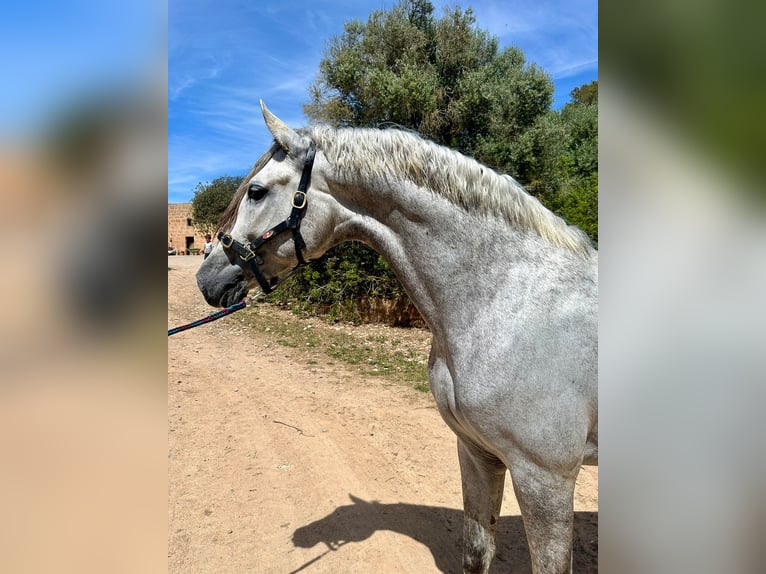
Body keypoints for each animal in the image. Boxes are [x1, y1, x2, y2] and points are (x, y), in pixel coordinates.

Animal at [198, 101, 600, 572]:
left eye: (257, 191)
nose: (205, 277)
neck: (505, 300)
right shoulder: (477, 454)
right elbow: (476, 553)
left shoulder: (545, 479)